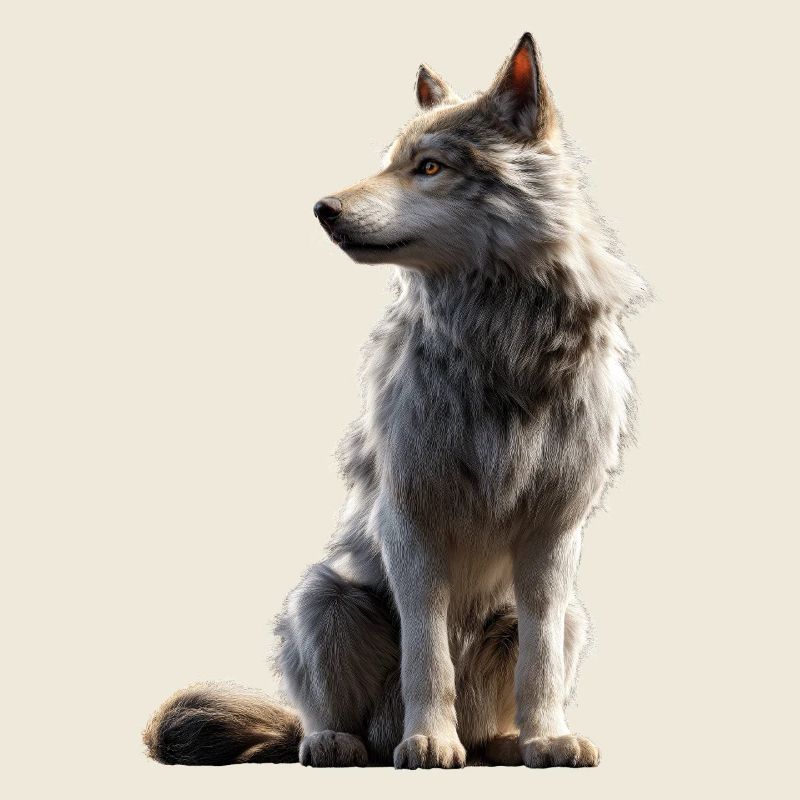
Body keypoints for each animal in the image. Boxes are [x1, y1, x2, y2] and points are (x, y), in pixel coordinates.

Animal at [144, 33, 644, 769]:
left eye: (429, 167)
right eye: (388, 163)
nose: (323, 209)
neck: (498, 342)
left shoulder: (554, 533)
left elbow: (542, 662)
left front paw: (548, 739)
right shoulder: (409, 519)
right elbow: (426, 652)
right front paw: (429, 741)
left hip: (567, 615)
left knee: (514, 690)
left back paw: (502, 744)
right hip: (322, 598)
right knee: (322, 717)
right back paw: (340, 742)